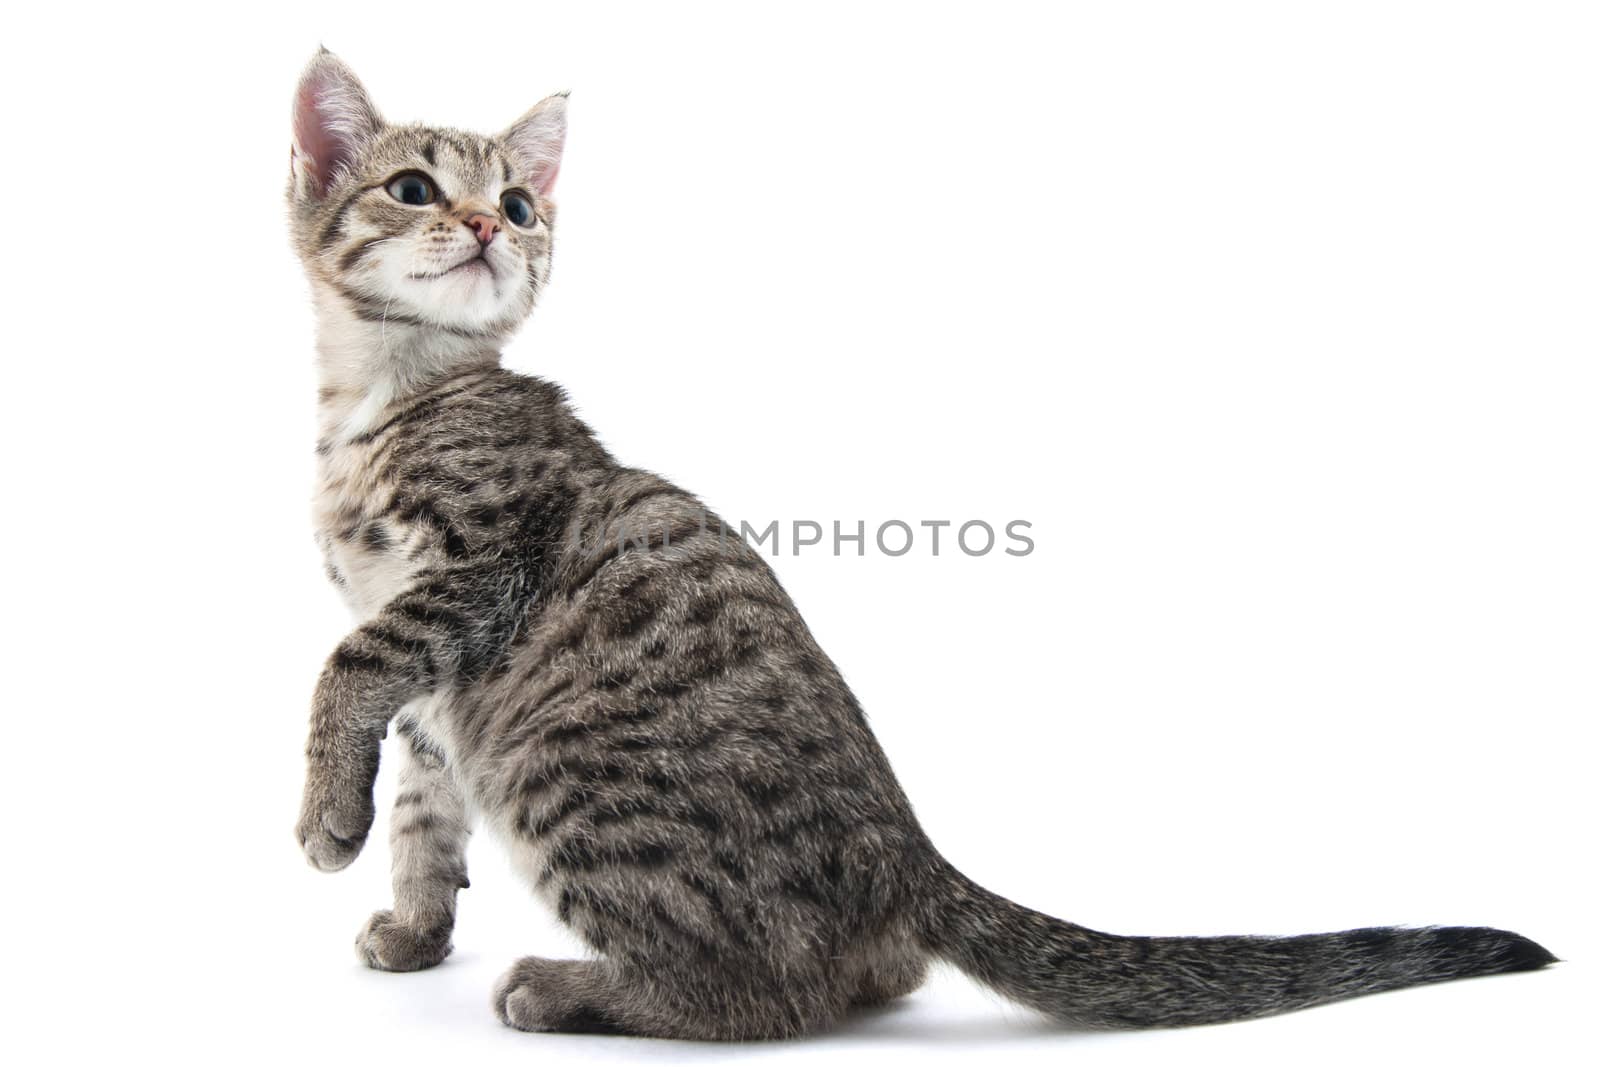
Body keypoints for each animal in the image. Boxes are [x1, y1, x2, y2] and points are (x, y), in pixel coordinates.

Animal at [284, 51, 1548, 1043]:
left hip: (564, 770)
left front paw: (326, 818)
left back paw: (567, 987)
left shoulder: (478, 571)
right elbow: (422, 804)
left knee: (770, 993)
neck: (384, 397)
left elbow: (347, 669)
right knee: (870, 973)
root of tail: (910, 855)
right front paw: (412, 919)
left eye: (518, 202)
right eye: (413, 189)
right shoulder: (429, 677)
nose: (486, 225)